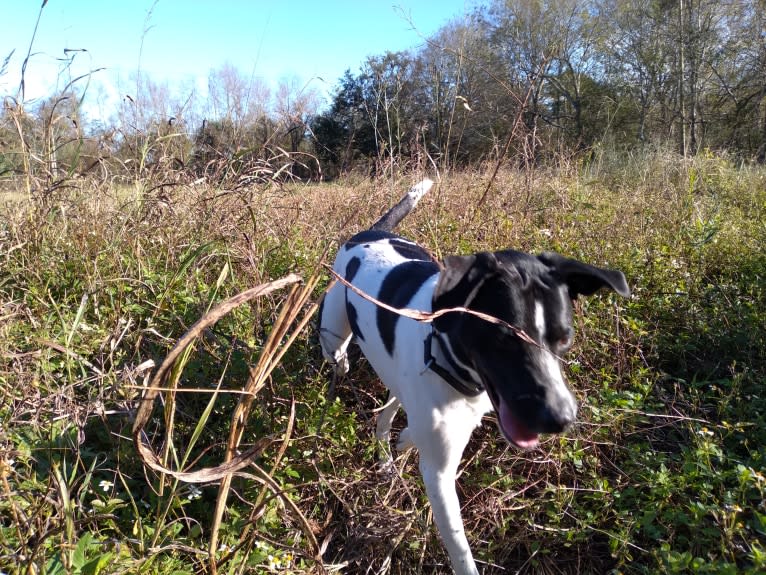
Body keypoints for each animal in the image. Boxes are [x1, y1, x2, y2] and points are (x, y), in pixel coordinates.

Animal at [318, 178, 632, 572]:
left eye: (565, 338)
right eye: (504, 336)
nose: (561, 418)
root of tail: (369, 233)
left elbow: (412, 430)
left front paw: (405, 441)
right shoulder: (439, 476)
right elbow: (460, 551)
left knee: (387, 412)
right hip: (333, 334)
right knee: (340, 356)